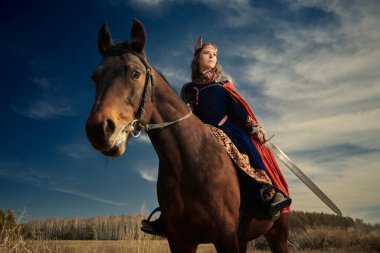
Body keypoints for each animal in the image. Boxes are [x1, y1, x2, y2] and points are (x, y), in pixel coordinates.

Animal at [85, 19, 288, 253]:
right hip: (244, 238)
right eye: (95, 77)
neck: (185, 164)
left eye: (135, 73)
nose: (99, 129)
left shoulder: (226, 236)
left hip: (278, 235)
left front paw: (258, 131)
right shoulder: (180, 240)